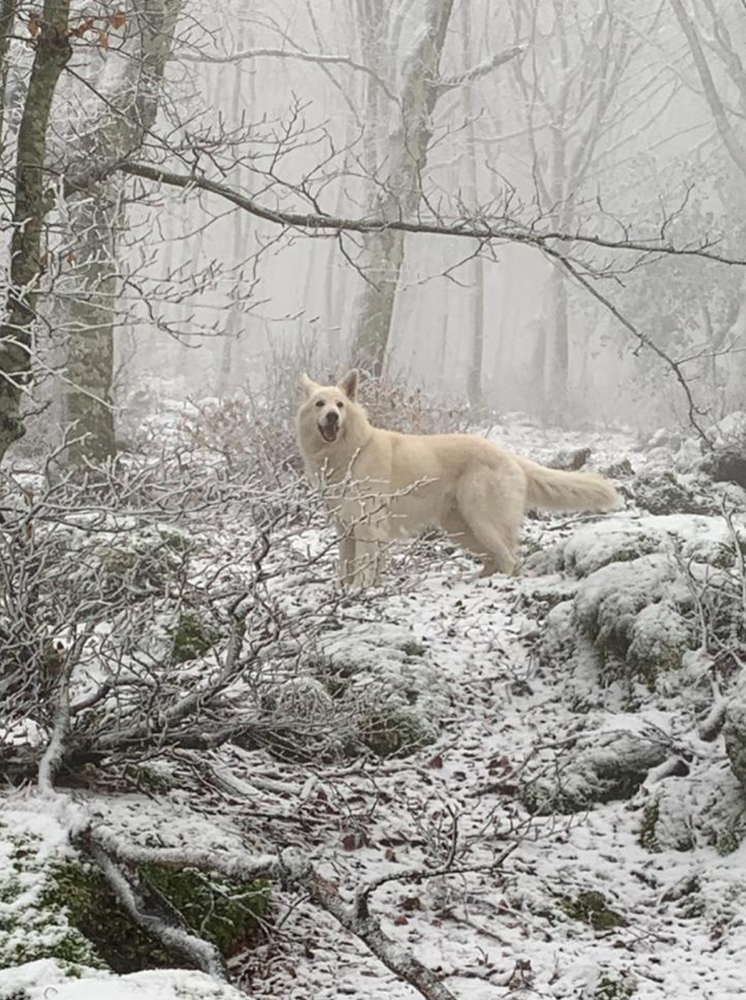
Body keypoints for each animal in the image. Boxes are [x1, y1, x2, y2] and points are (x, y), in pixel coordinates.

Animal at [296, 370, 616, 584]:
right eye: (320, 404)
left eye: (339, 405)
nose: (333, 417)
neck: (351, 451)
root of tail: (508, 455)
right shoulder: (345, 527)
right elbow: (345, 567)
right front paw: (345, 594)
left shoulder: (368, 525)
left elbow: (363, 567)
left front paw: (359, 593)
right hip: (460, 527)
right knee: (494, 558)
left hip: (480, 519)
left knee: (509, 557)